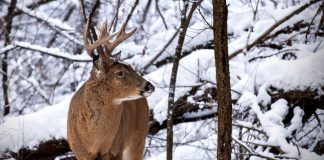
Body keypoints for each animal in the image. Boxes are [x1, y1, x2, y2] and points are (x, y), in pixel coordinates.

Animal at [67, 19, 154, 160]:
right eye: (120, 72)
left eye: (131, 66)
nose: (149, 86)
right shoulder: (79, 153)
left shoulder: (116, 150)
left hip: (138, 138)